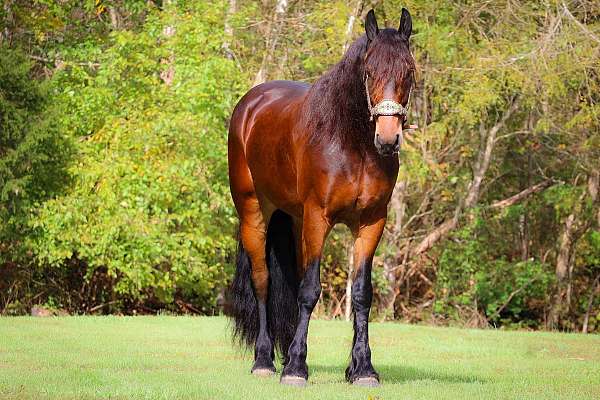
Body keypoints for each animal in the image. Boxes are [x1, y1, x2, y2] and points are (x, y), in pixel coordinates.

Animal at [227, 7, 414, 386]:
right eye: (369, 71)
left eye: (409, 72)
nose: (388, 139)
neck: (351, 144)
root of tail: (250, 105)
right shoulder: (318, 217)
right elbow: (310, 290)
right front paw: (296, 368)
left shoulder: (371, 222)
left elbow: (361, 293)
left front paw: (362, 368)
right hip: (254, 212)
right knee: (263, 282)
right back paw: (265, 360)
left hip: (294, 220)